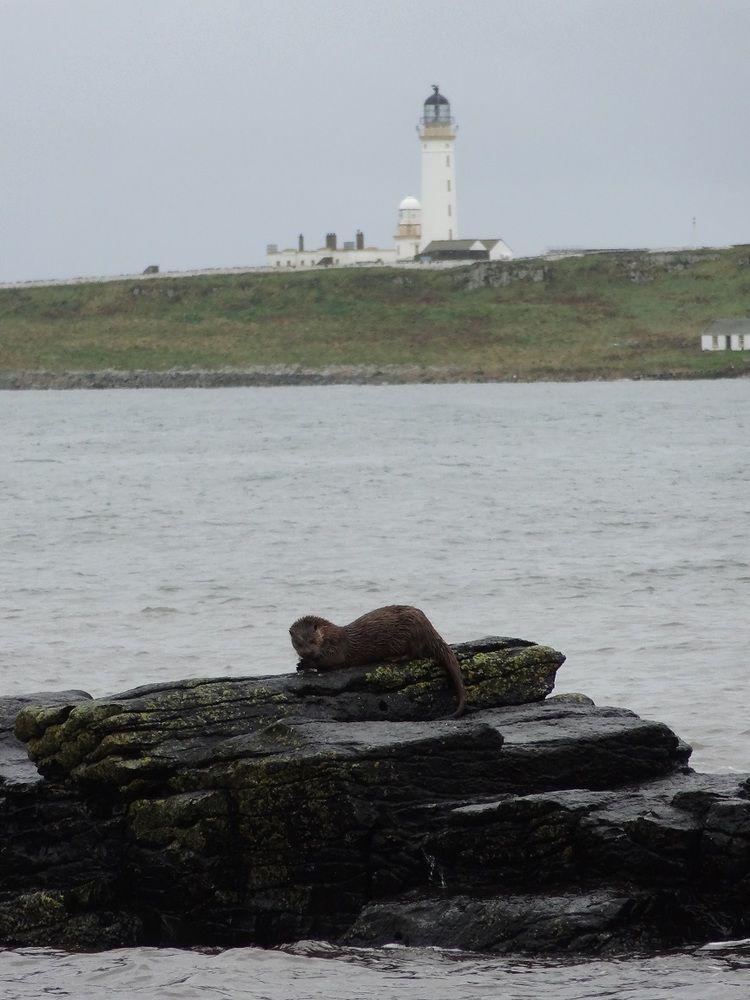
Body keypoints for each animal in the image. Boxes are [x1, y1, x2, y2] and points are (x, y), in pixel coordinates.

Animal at [290, 600, 468, 720]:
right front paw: (302, 662)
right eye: (298, 643)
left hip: (413, 634)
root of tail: (428, 626)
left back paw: (394, 657)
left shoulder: (337, 649)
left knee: (414, 653)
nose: (307, 652)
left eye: (312, 640)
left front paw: (305, 664)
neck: (330, 637)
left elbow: (329, 662)